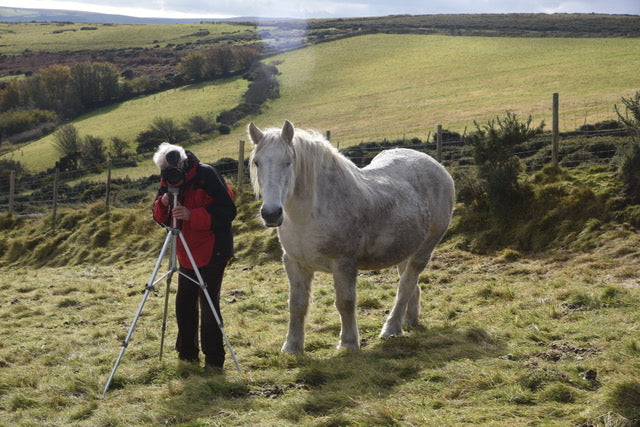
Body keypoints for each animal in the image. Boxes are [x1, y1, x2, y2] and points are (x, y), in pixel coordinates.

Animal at [248, 120, 455, 354]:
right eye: (257, 162)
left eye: (288, 162)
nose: (271, 214)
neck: (310, 213)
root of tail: (438, 167)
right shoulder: (294, 263)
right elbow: (297, 305)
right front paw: (292, 347)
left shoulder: (344, 263)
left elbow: (345, 302)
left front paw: (348, 343)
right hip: (406, 248)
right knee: (411, 284)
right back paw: (408, 321)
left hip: (426, 247)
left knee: (405, 285)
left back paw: (391, 329)